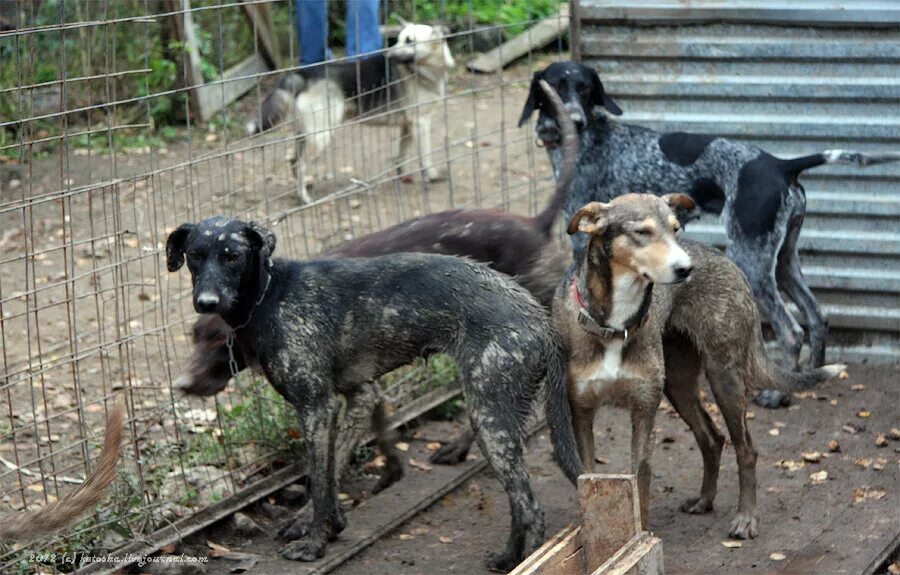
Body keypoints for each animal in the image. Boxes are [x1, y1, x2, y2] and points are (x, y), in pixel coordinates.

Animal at [164, 217, 580, 572]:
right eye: (195, 255)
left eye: (232, 255)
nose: (206, 302)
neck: (270, 296)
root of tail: (539, 318)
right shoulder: (355, 395)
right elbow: (333, 472)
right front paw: (333, 526)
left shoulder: (317, 409)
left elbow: (319, 481)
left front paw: (313, 544)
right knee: (519, 503)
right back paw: (510, 557)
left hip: (489, 419)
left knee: (530, 506)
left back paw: (525, 559)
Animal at [246, 21, 454, 204]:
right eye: (398, 39)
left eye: (410, 41)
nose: (386, 55)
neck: (424, 69)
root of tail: (306, 73)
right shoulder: (421, 123)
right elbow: (425, 156)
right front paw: (432, 176)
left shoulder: (408, 127)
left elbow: (401, 156)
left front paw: (401, 175)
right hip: (321, 136)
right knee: (300, 164)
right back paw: (304, 198)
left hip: (305, 134)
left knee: (294, 161)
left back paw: (303, 189)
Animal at [552, 196, 848, 544]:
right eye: (642, 232)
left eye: (675, 229)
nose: (686, 269)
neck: (615, 325)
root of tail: (731, 264)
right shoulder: (582, 414)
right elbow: (588, 479)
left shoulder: (644, 411)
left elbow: (641, 480)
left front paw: (641, 537)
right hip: (679, 386)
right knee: (712, 438)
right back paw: (705, 500)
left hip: (723, 377)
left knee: (746, 449)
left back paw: (745, 519)